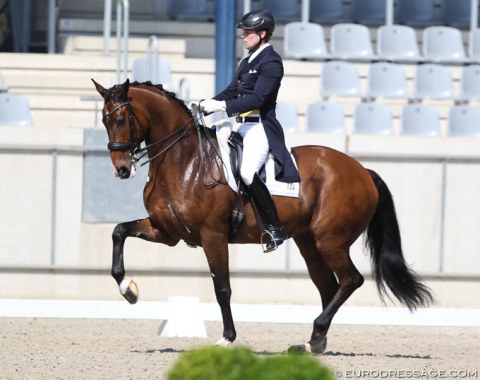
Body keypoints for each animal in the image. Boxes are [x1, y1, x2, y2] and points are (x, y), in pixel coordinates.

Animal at [92, 78, 434, 354]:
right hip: (309, 243)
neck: (184, 161)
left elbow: (222, 288)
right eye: (104, 120)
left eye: (120, 118)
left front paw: (227, 338)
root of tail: (362, 170)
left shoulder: (212, 236)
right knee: (328, 287)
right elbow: (119, 231)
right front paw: (129, 290)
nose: (122, 169)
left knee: (351, 280)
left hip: (331, 241)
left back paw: (315, 335)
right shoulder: (166, 232)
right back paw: (313, 342)